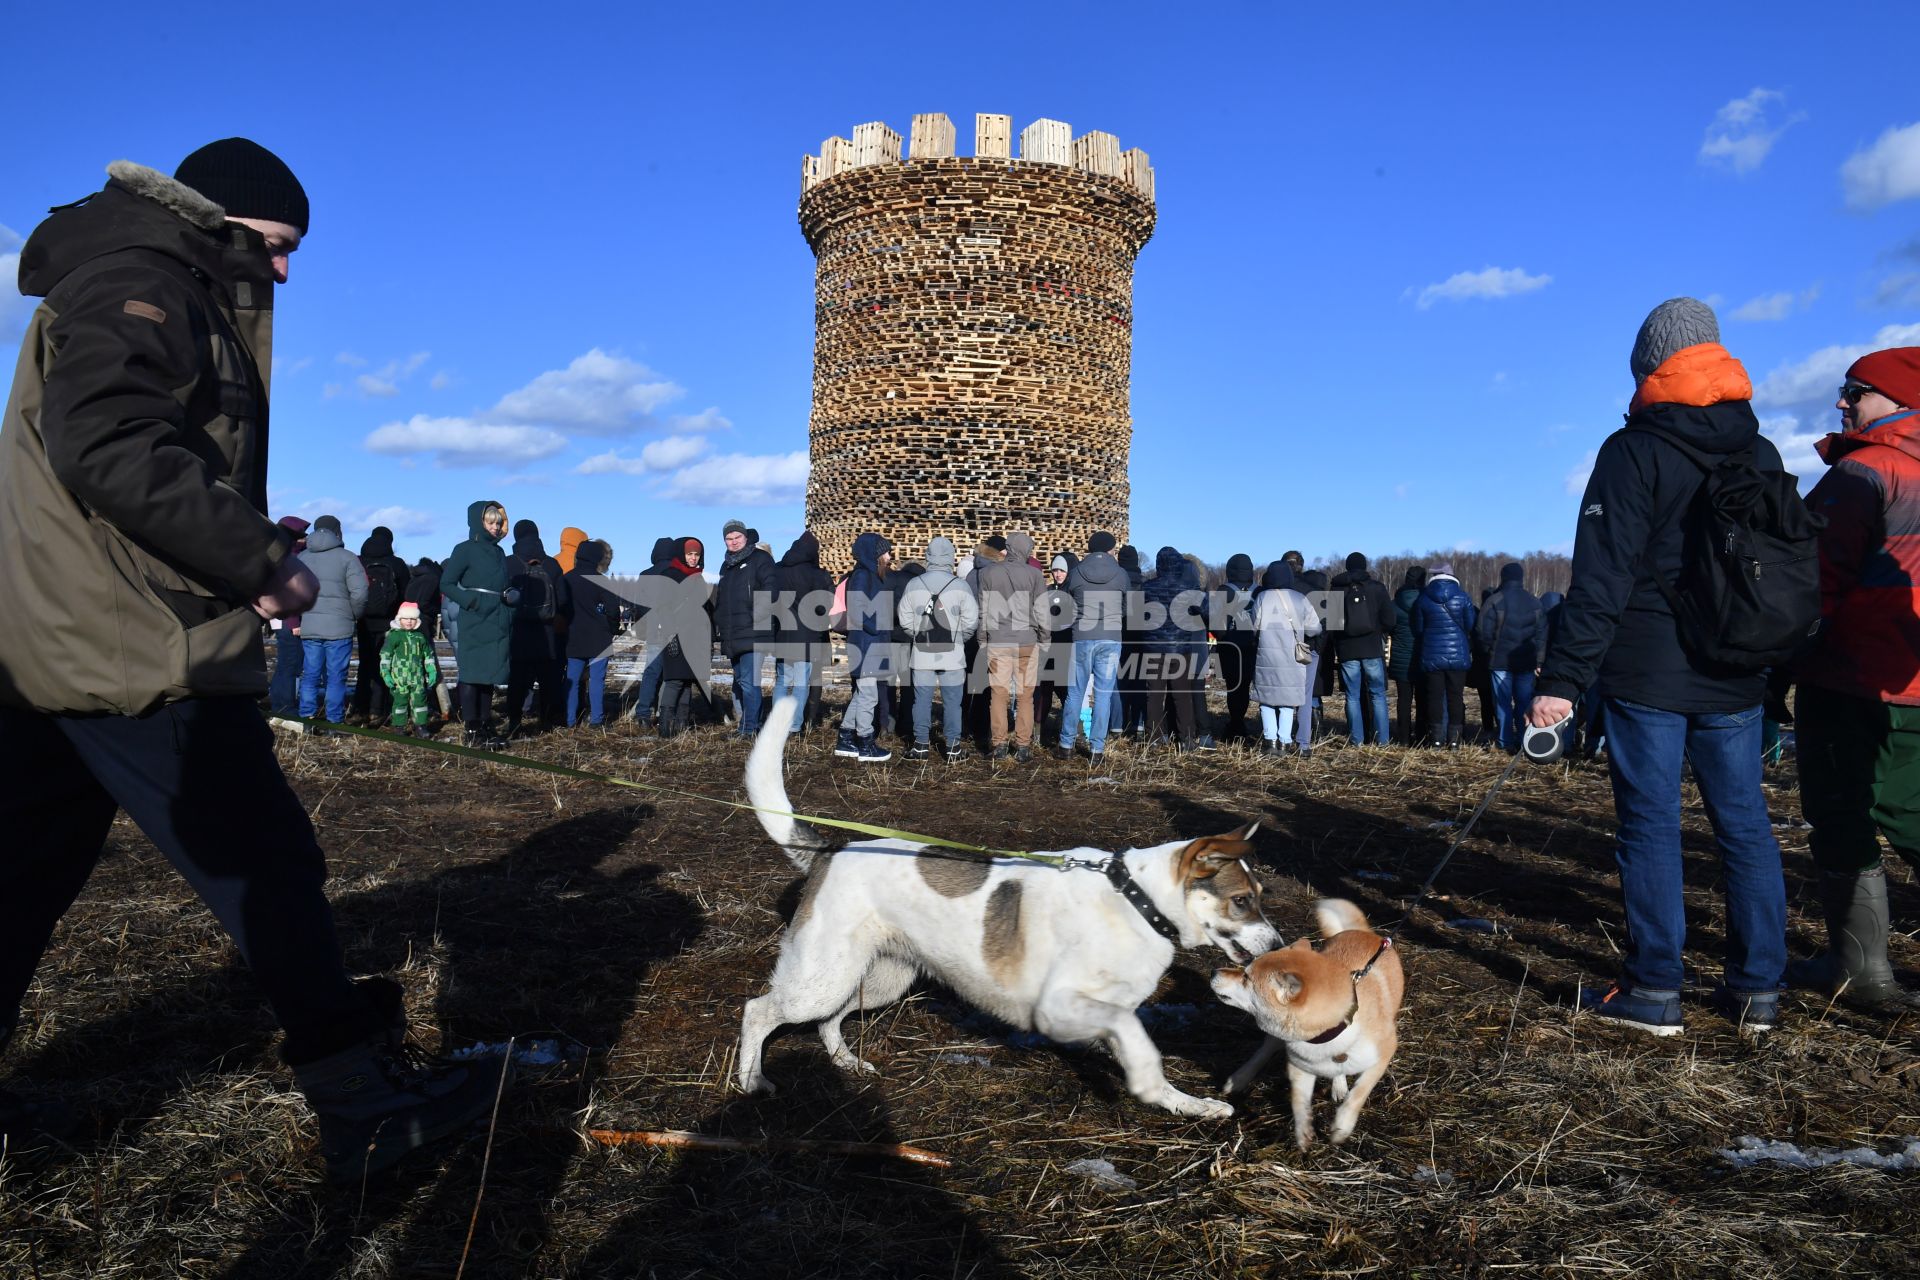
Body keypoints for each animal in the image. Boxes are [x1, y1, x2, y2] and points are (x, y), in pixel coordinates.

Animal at [741, 694, 1282, 1113]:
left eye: (1260, 897)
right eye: (1240, 901)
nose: (1278, 945)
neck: (1136, 899)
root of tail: (830, 851)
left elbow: (1140, 1048)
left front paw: (1187, 1104)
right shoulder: (1059, 1006)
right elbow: (1136, 1037)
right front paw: (1150, 1086)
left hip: (872, 979)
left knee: (829, 1020)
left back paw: (845, 1062)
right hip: (821, 978)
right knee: (758, 1011)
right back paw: (751, 1081)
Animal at [1205, 901, 1405, 1151]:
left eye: (1246, 978)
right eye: (1245, 970)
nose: (1213, 971)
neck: (1331, 1033)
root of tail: (1364, 932)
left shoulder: (1385, 1052)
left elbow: (1358, 1094)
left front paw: (1342, 1126)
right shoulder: (1300, 1065)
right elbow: (1298, 1102)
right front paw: (1303, 1133)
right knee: (1265, 1050)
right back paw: (1239, 1078)